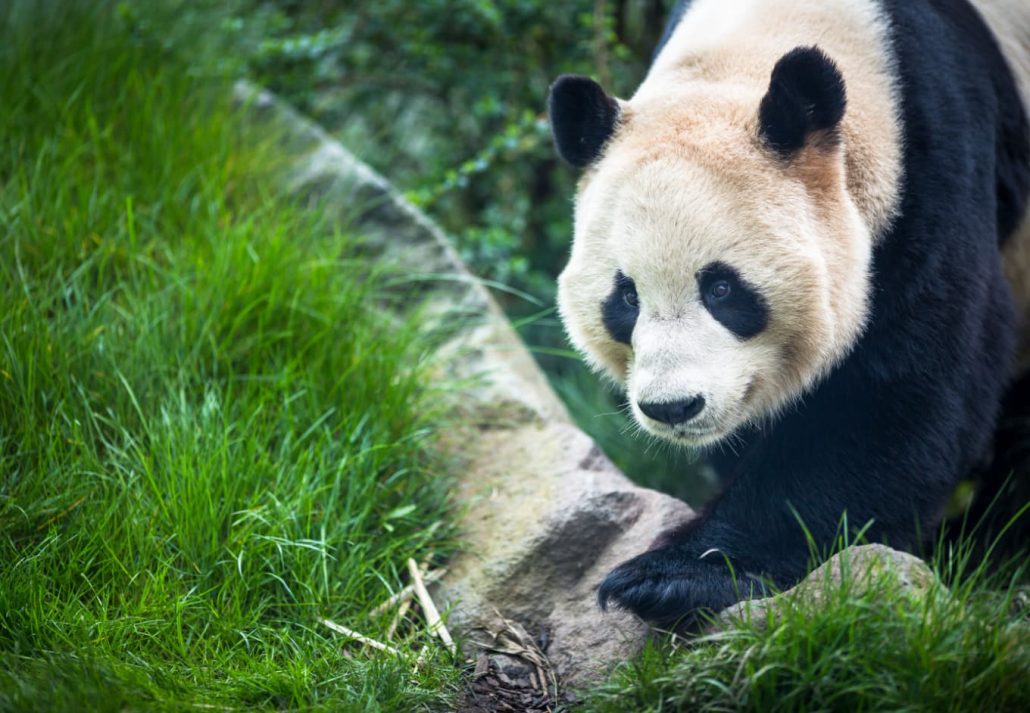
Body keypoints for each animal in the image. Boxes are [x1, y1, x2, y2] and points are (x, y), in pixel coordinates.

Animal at [547, 0, 1030, 622]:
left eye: (722, 289)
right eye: (626, 296)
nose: (674, 407)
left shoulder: (936, 166)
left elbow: (889, 398)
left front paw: (672, 577)